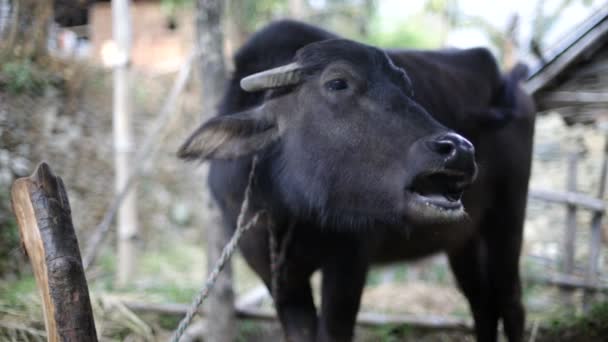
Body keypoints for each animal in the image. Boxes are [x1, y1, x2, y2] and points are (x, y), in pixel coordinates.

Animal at [178, 20, 536, 340]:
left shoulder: (349, 261)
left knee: (511, 301)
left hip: (508, 215)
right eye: (338, 83)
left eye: (407, 89)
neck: (290, 210)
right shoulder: (273, 273)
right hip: (462, 238)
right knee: (481, 303)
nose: (459, 149)